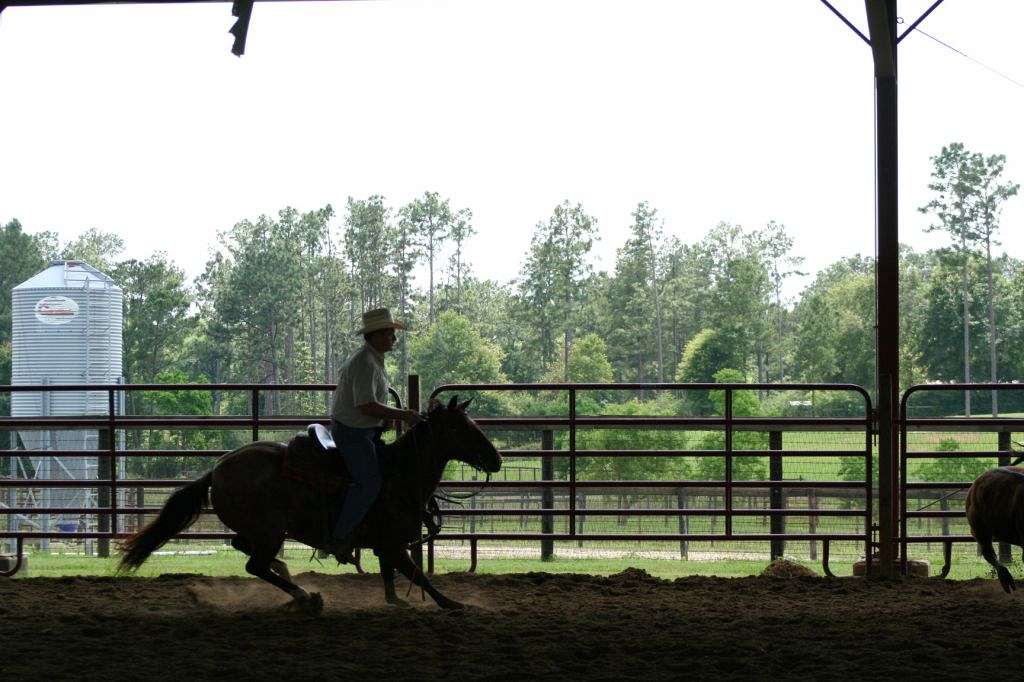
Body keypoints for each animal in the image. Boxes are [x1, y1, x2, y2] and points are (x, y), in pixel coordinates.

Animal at [117, 395, 501, 612]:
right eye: (462, 428)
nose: (496, 460)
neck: (400, 473)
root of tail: (217, 469)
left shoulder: (385, 546)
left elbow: (392, 579)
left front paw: (398, 602)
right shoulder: (393, 545)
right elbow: (420, 577)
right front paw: (454, 604)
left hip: (261, 530)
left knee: (246, 549)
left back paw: (289, 579)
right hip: (270, 530)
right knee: (254, 565)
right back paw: (305, 597)